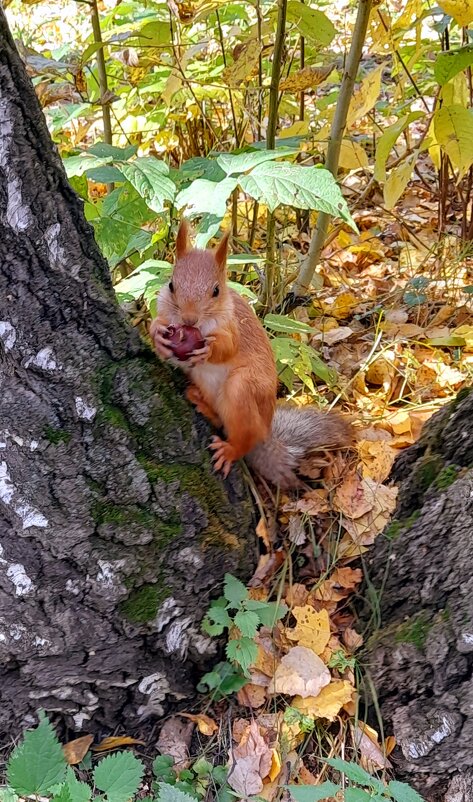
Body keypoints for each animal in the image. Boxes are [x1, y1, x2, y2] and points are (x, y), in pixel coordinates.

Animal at [149, 217, 352, 488]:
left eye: (216, 291)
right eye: (171, 285)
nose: (189, 320)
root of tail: (266, 431)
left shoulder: (233, 325)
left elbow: (227, 348)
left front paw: (209, 349)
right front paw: (157, 333)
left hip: (243, 389)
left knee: (244, 436)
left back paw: (229, 450)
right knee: (219, 418)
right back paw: (199, 401)